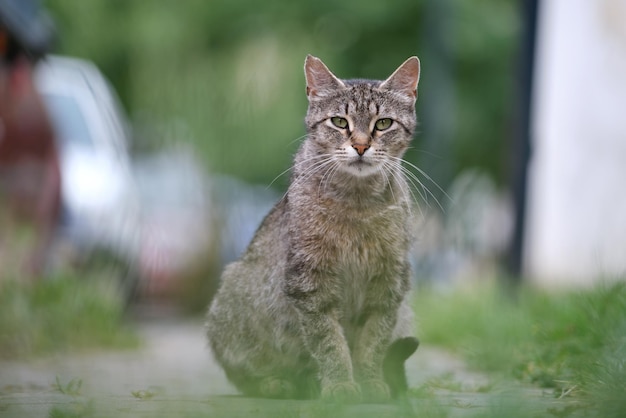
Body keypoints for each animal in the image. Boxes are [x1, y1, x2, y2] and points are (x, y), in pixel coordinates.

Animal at [206, 54, 420, 404]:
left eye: (383, 124)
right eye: (340, 122)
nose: (361, 146)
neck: (357, 202)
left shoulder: (389, 283)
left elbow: (373, 342)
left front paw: (370, 382)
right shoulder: (308, 281)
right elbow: (329, 342)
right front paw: (340, 385)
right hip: (231, 302)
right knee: (245, 375)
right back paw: (278, 384)